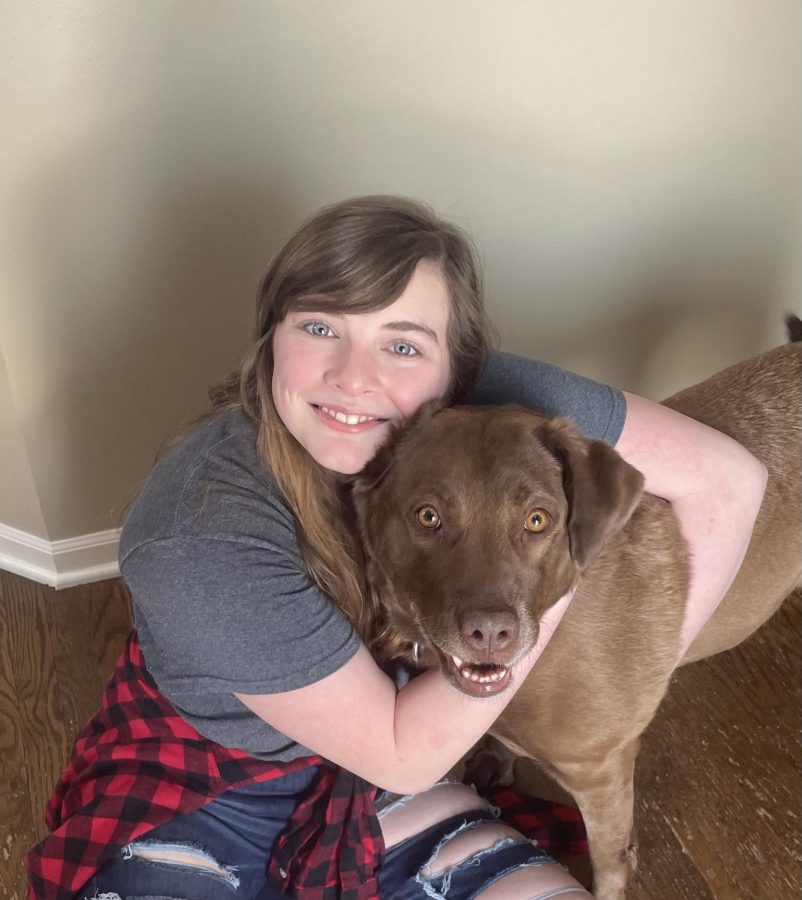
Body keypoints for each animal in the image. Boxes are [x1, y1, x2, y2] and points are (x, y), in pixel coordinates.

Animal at [354, 340, 796, 900]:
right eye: (427, 515)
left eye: (537, 520)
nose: (490, 633)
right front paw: (496, 760)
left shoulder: (604, 773)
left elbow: (609, 863)